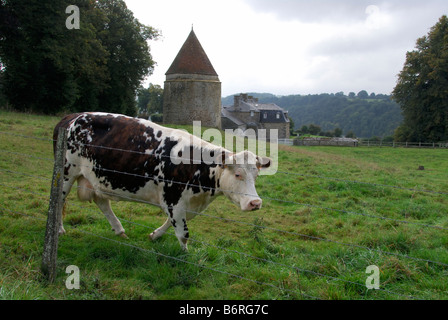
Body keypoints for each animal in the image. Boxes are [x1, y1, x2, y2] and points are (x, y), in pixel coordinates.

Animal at [52, 112, 270, 250]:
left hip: (97, 177)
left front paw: (155, 235)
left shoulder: (187, 204)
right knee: (59, 200)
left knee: (101, 201)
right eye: (238, 174)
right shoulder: (173, 199)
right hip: (66, 172)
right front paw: (185, 259)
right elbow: (183, 234)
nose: (255, 203)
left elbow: (173, 224)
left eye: (256, 175)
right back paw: (59, 229)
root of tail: (72, 116)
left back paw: (120, 230)